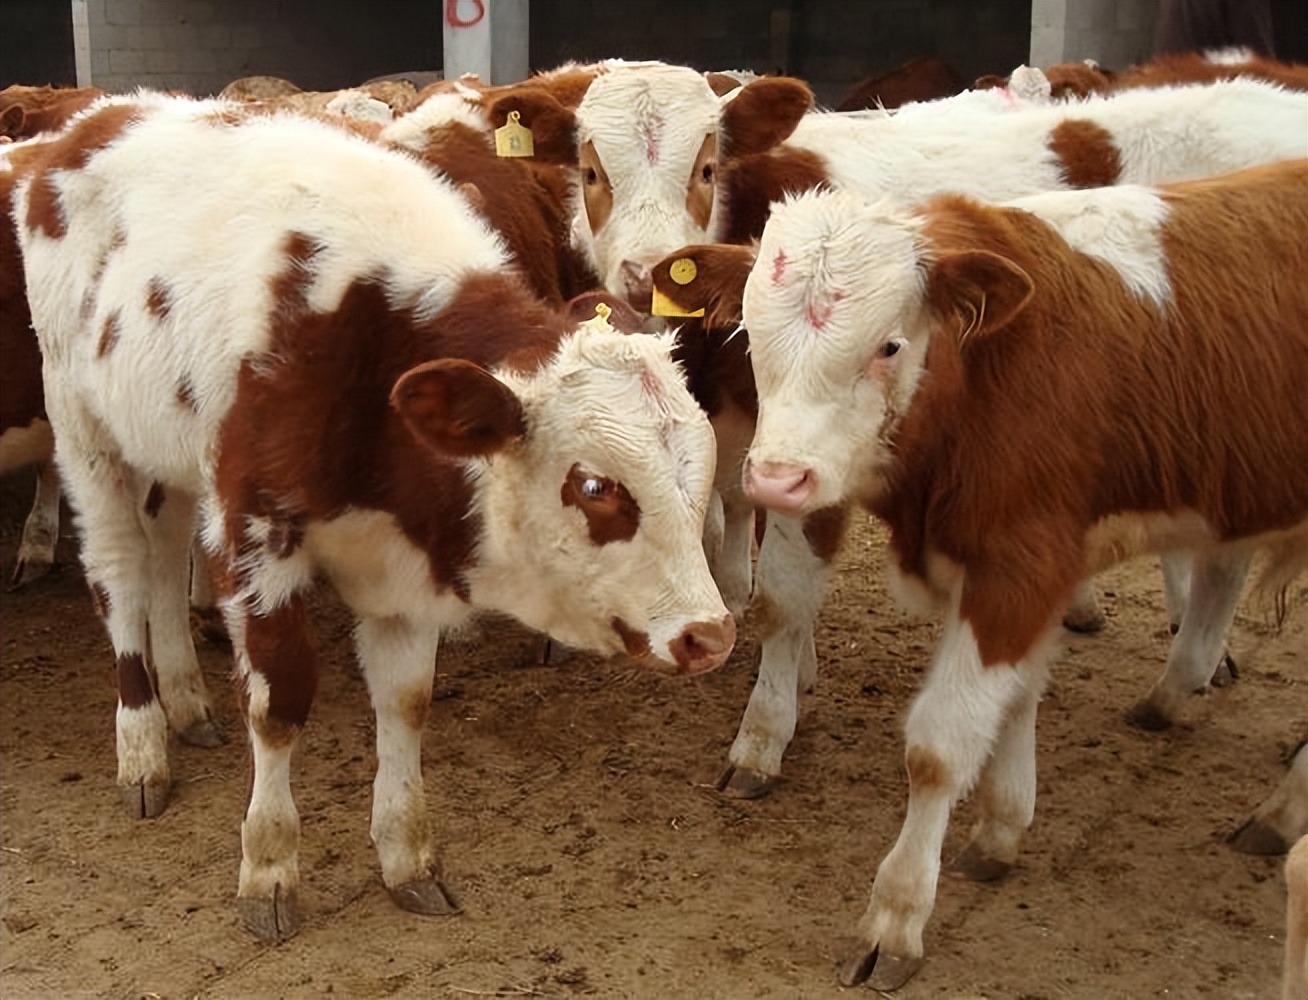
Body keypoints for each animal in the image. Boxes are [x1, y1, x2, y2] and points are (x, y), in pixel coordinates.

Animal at [10, 89, 732, 941]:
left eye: (701, 475)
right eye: (595, 487)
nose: (710, 635)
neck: (362, 343)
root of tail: (95, 119)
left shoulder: (403, 558)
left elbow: (406, 702)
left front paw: (406, 856)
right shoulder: (256, 537)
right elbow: (279, 703)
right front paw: (269, 869)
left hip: (171, 449)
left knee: (162, 552)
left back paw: (185, 698)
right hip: (83, 427)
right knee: (121, 576)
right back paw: (144, 745)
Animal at [727, 160, 1308, 988]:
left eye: (890, 346)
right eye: (750, 338)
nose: (778, 479)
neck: (984, 380)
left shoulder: (1020, 565)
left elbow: (938, 749)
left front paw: (896, 919)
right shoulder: (1026, 574)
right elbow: (1017, 696)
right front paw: (1003, 825)